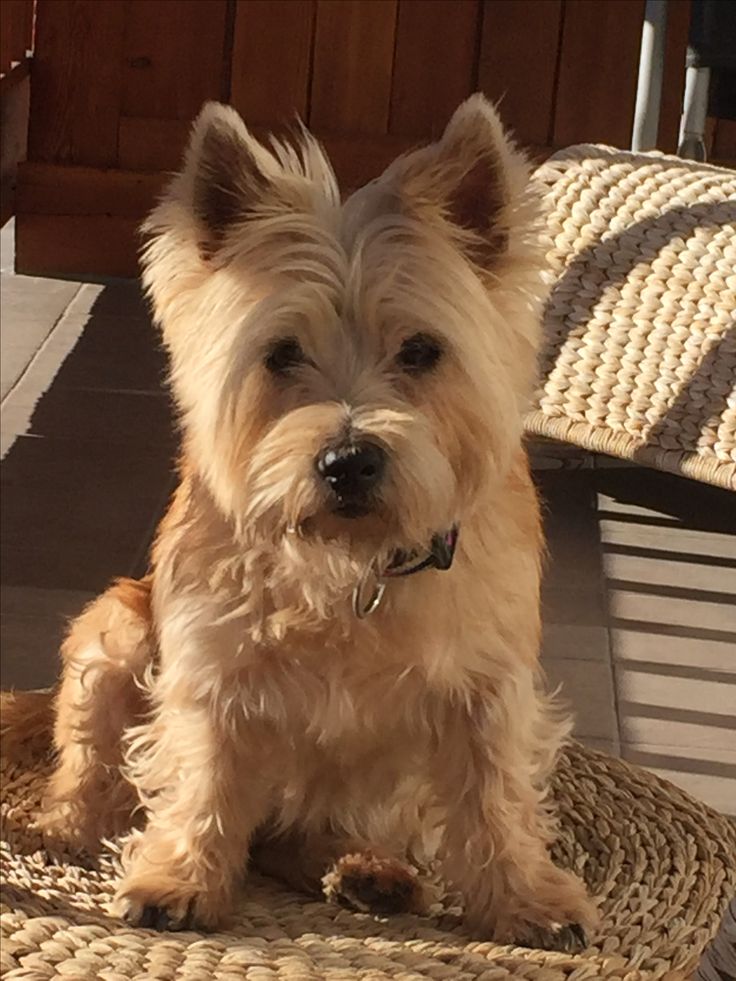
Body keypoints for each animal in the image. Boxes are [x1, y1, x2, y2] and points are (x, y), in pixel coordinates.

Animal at [38, 95, 600, 944]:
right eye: (280, 353)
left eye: (422, 350)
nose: (348, 461)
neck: (350, 563)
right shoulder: (211, 664)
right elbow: (201, 771)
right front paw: (179, 876)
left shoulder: (487, 684)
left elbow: (495, 791)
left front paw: (525, 895)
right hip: (118, 629)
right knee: (93, 756)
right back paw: (66, 827)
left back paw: (370, 872)